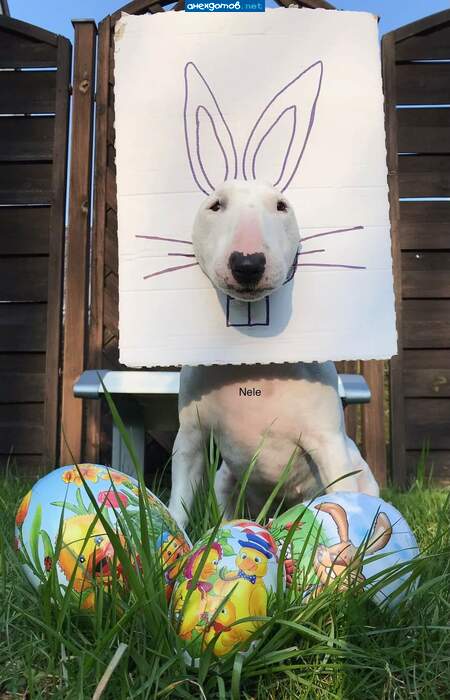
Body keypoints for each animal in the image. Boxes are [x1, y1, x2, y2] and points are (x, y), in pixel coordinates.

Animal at [168, 61, 379, 527]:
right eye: (215, 205)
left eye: (282, 206)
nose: (248, 263)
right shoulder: (190, 439)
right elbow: (177, 501)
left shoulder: (329, 445)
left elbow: (343, 500)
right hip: (225, 482)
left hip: (360, 471)